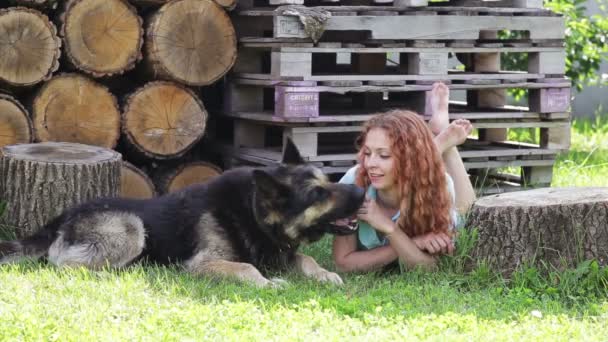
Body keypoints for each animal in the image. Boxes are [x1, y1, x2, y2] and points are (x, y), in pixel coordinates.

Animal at [0, 140, 364, 288]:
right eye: (317, 194)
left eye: (327, 180)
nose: (361, 192)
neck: (252, 213)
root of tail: (61, 217)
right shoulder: (203, 264)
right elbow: (246, 268)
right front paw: (268, 282)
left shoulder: (282, 252)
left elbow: (307, 259)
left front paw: (324, 274)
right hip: (131, 227)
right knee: (62, 265)